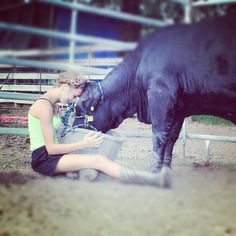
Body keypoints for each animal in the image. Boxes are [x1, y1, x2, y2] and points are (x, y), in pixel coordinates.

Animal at [75, 14, 236, 172]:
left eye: (80, 110)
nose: (74, 131)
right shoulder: (179, 108)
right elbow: (171, 136)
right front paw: (165, 168)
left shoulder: (160, 95)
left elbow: (159, 134)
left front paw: (154, 169)